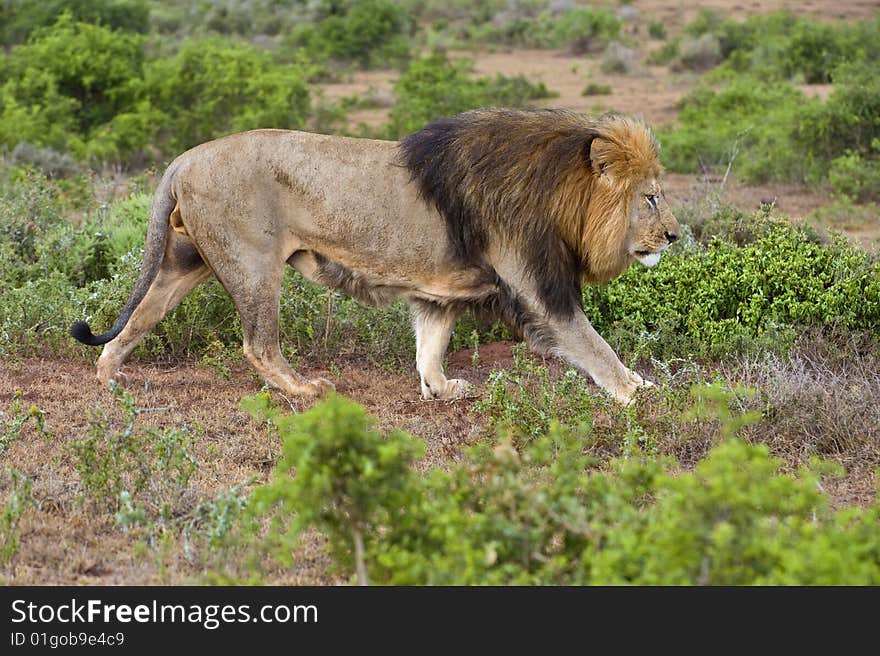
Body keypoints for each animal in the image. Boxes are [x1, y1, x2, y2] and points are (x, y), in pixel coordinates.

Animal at [70, 107, 680, 402]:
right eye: (651, 197)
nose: (677, 236)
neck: (562, 197)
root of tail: (185, 156)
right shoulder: (538, 285)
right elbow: (593, 344)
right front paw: (638, 390)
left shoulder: (440, 291)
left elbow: (430, 347)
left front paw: (440, 389)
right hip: (253, 262)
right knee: (258, 346)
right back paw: (304, 390)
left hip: (184, 260)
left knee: (141, 315)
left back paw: (109, 375)